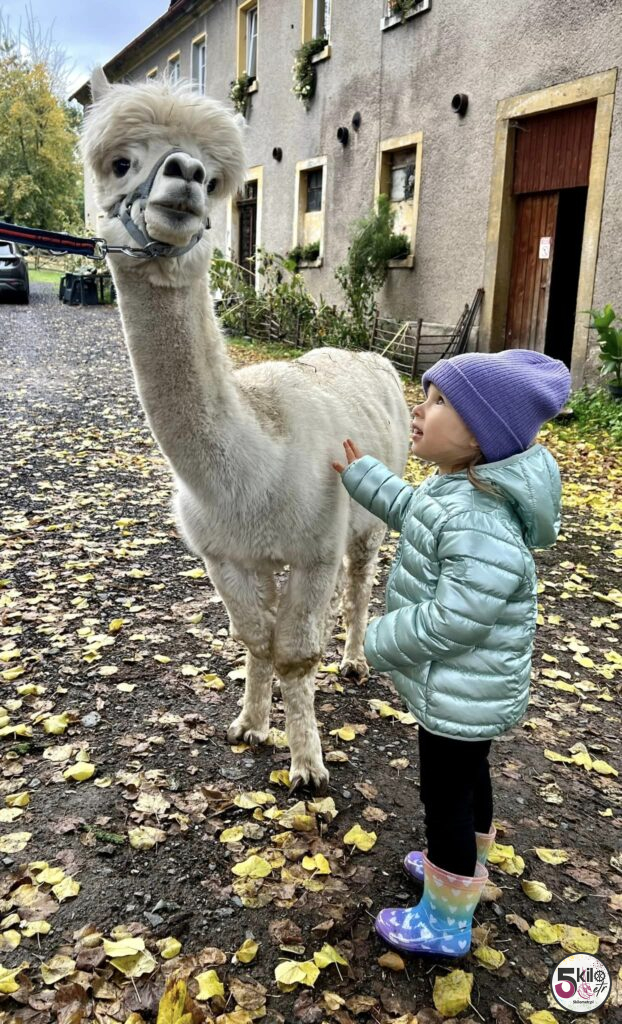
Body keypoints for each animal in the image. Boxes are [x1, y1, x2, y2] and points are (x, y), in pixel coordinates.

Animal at [82, 68, 410, 790]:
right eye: (120, 163)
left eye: (211, 181)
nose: (183, 175)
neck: (251, 471)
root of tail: (369, 355)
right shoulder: (224, 553)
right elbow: (255, 639)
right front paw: (251, 727)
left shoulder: (313, 545)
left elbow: (295, 654)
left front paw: (308, 765)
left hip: (369, 514)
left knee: (360, 580)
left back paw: (354, 659)